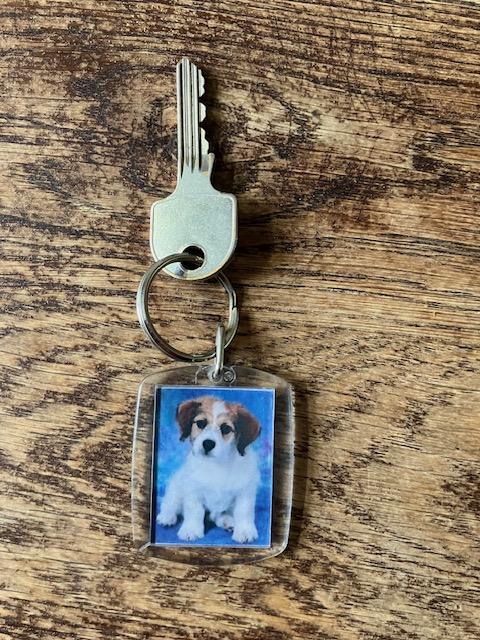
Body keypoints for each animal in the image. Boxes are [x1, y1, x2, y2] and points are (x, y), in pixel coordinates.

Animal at [157, 395, 261, 543]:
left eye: (226, 428)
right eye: (201, 423)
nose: (208, 444)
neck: (217, 464)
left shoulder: (245, 492)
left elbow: (244, 511)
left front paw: (244, 531)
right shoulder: (193, 491)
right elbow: (194, 511)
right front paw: (191, 529)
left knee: (218, 515)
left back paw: (227, 521)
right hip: (176, 487)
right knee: (169, 503)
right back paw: (166, 517)